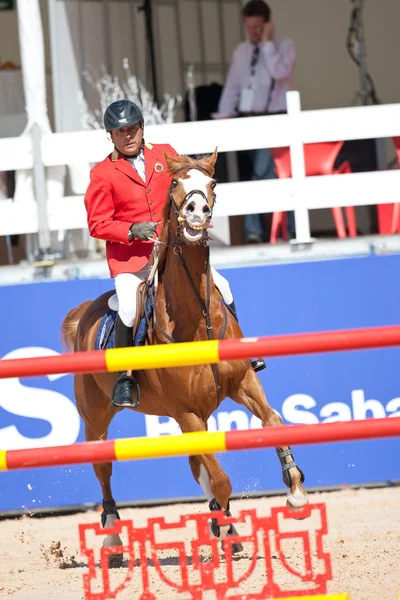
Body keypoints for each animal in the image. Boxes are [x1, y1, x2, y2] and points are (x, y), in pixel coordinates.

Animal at [61, 148, 308, 564]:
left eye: (212, 183)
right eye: (176, 183)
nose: (196, 212)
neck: (195, 318)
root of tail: (85, 313)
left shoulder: (242, 383)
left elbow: (273, 422)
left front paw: (294, 491)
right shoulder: (186, 412)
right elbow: (221, 479)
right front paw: (224, 526)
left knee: (197, 467)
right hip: (96, 419)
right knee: (103, 468)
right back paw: (113, 539)